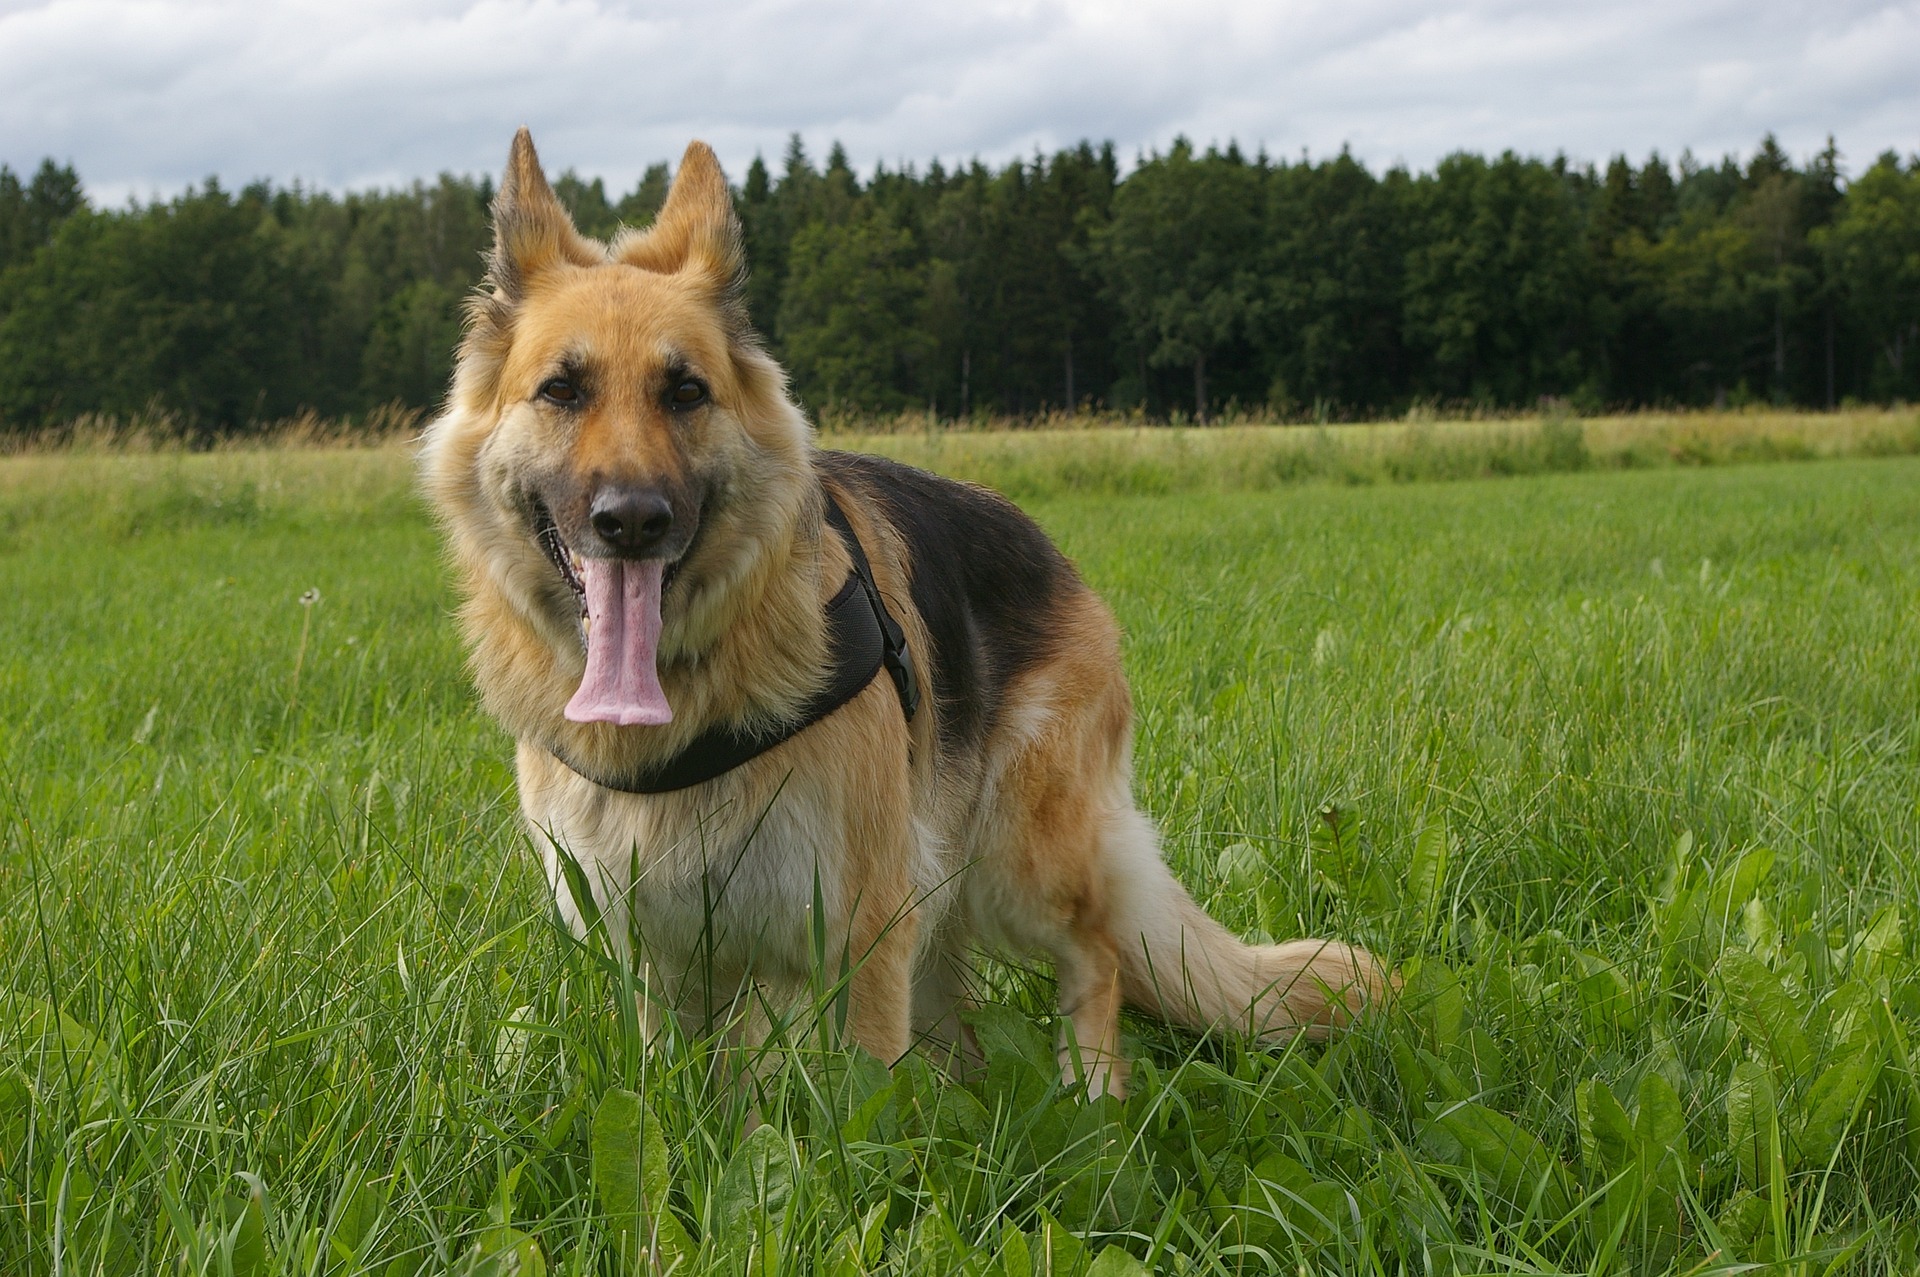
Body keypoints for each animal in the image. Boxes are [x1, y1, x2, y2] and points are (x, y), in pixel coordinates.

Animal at [424, 131, 1382, 1098]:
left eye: (685, 392)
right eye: (561, 390)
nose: (632, 520)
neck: (692, 702)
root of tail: (1051, 549)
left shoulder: (859, 931)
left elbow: (864, 1098)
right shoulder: (662, 963)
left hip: (1017, 861)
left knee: (1098, 953)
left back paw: (1092, 1100)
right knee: (960, 1024)